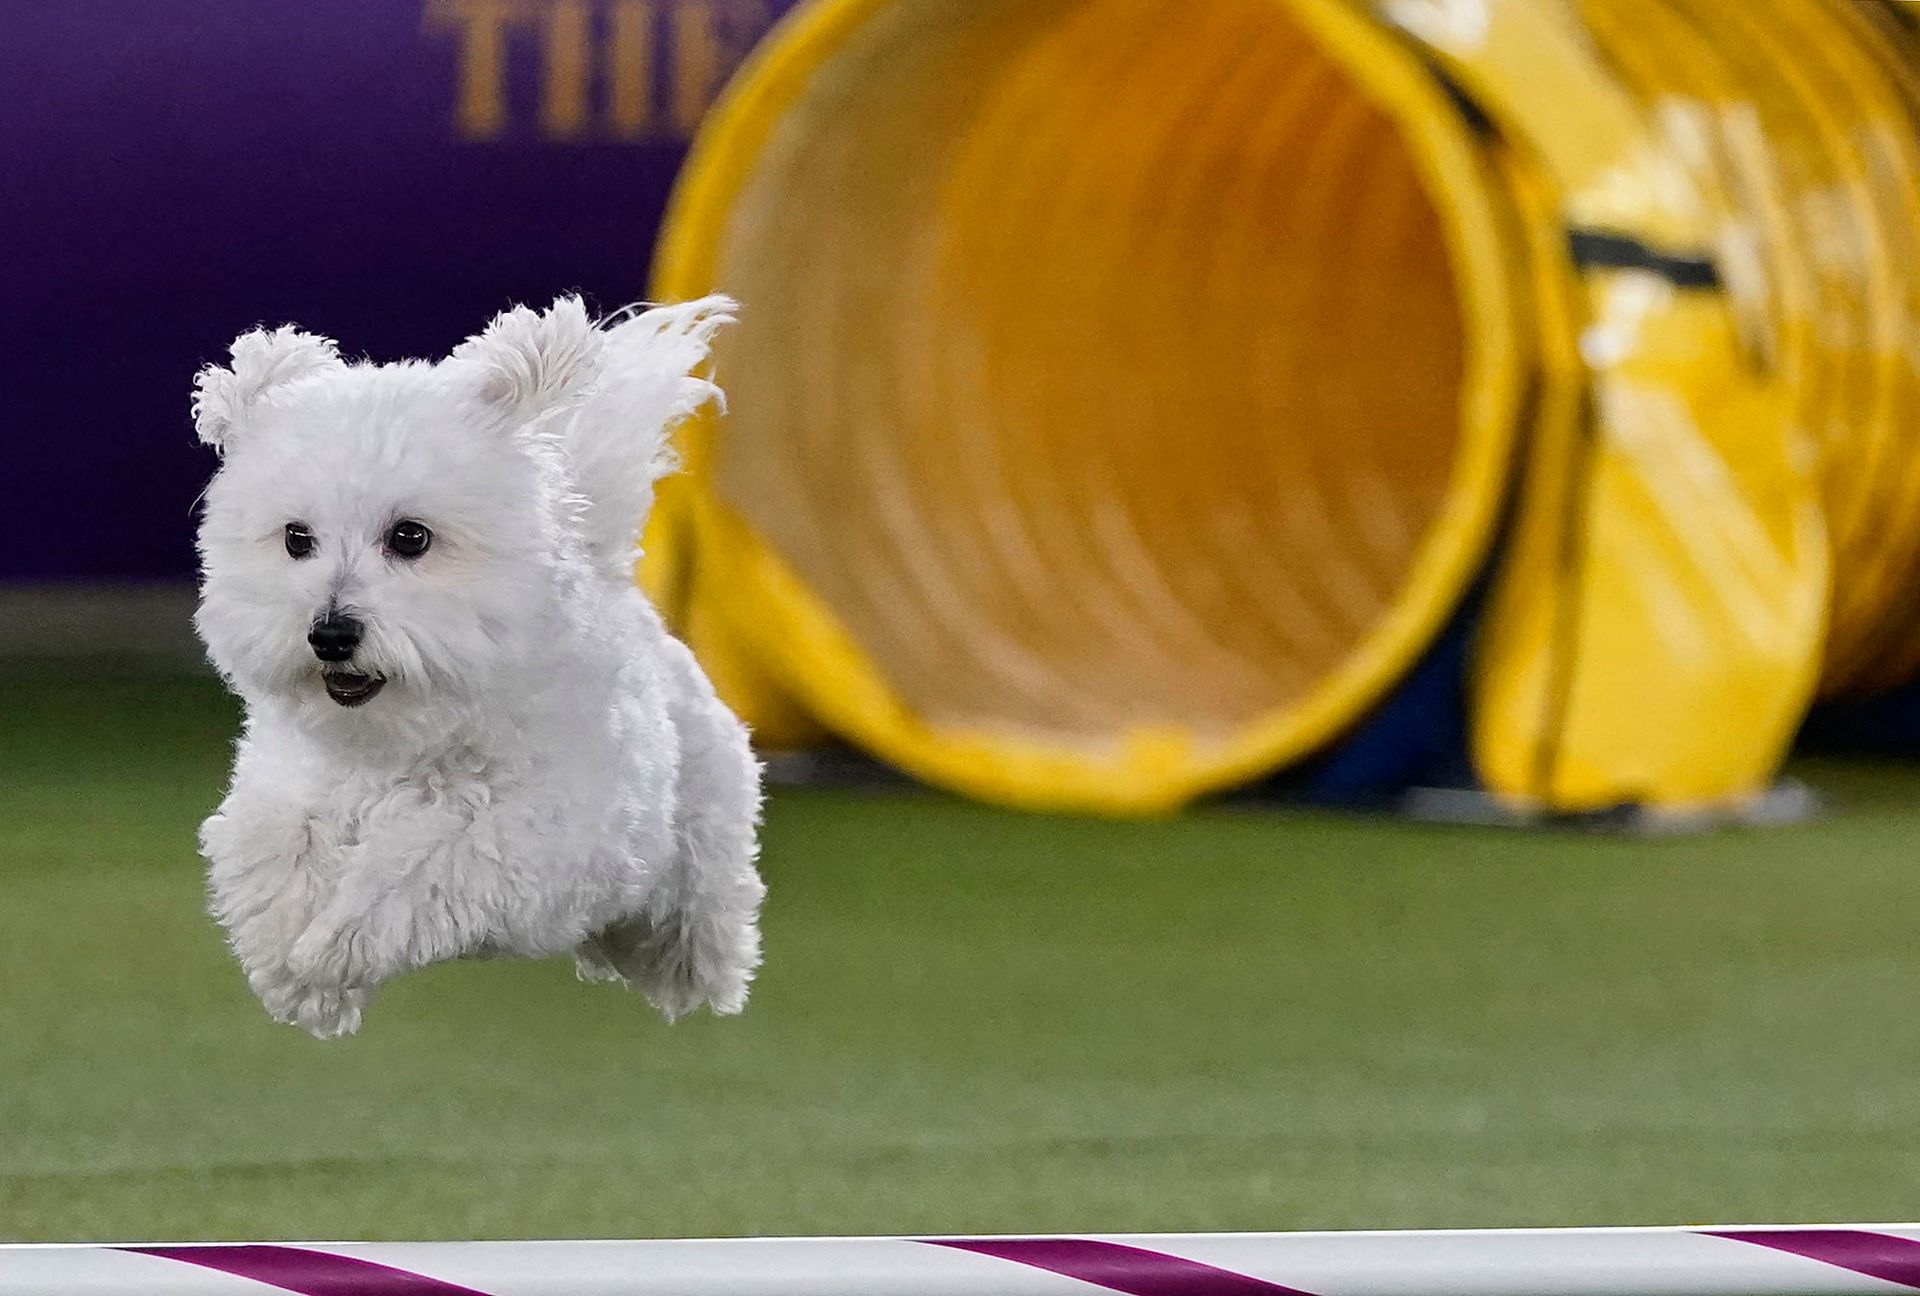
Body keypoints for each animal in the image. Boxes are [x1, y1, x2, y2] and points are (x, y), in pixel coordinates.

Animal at [189, 293, 764, 1036]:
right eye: (296, 538)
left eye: (411, 537)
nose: (330, 634)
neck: (404, 732)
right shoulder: (285, 791)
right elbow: (278, 854)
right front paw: (294, 972)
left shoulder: (535, 829)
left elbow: (418, 867)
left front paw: (332, 949)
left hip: (699, 835)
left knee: (695, 920)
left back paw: (705, 976)